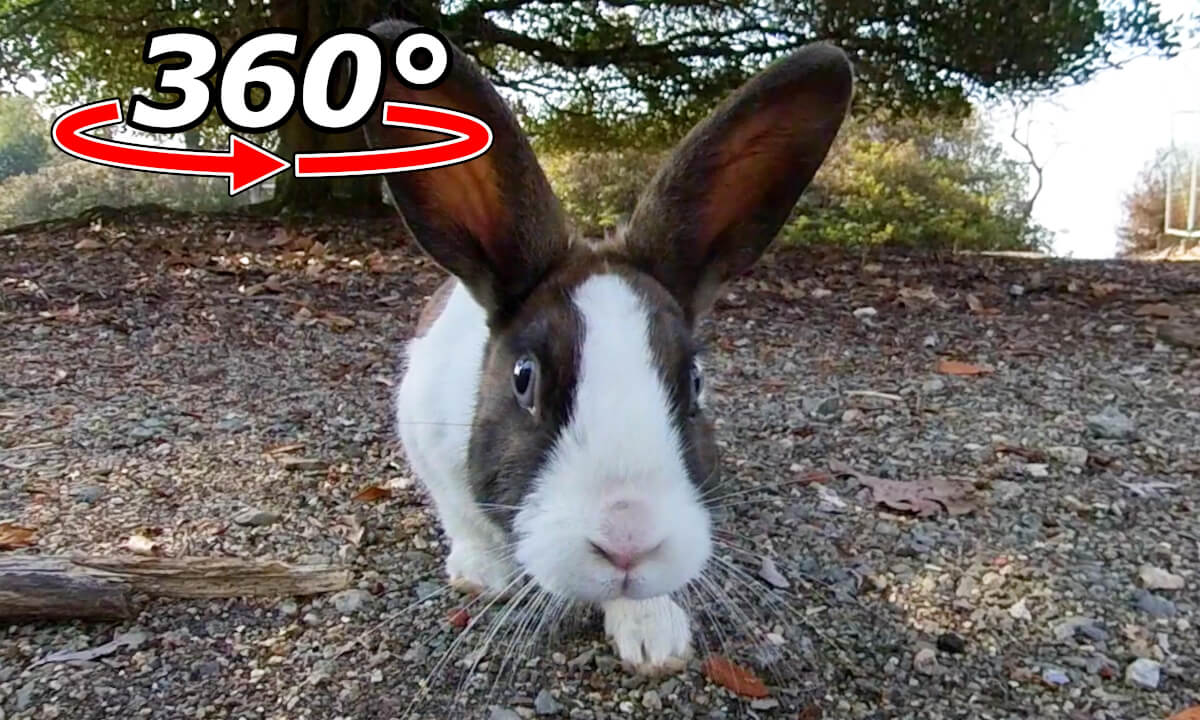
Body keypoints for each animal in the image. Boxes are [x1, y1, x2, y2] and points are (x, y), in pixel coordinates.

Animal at [364, 19, 852, 676]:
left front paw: (654, 636)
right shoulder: (426, 437)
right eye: (523, 378)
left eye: (695, 381)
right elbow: (461, 511)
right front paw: (485, 573)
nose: (628, 544)